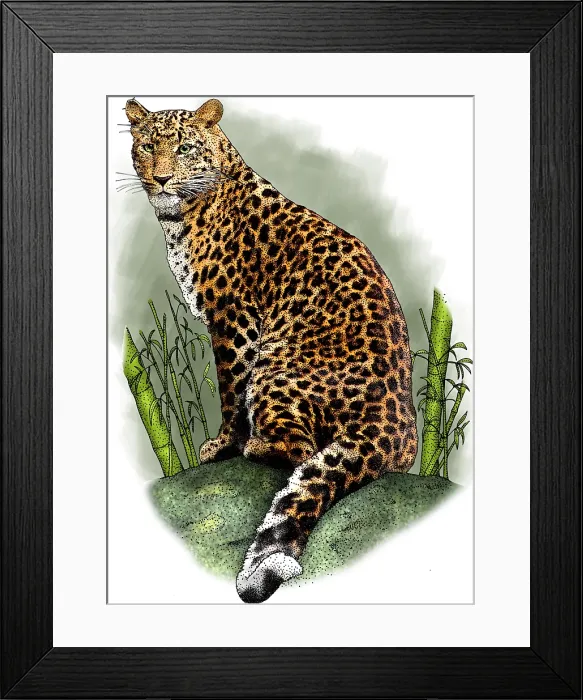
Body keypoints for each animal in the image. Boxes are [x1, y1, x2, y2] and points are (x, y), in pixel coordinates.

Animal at [126, 97, 418, 603]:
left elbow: (229, 387)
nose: (161, 179)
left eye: (184, 148)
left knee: (301, 449)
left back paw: (255, 445)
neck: (183, 216)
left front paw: (222, 444)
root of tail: (394, 427)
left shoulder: (233, 318)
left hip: (274, 367)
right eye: (146, 147)